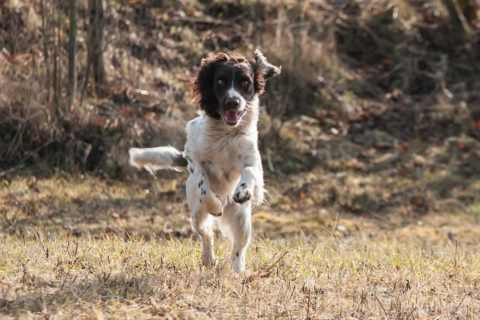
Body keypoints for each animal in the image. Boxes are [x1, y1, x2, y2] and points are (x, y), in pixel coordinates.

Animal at [131, 50, 282, 272]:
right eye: (220, 81)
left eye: (245, 82)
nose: (232, 102)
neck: (225, 134)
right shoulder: (192, 156)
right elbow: (203, 184)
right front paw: (215, 205)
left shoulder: (254, 164)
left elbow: (249, 172)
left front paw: (243, 191)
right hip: (196, 214)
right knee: (205, 234)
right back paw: (209, 258)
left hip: (242, 220)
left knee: (238, 250)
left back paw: (239, 272)